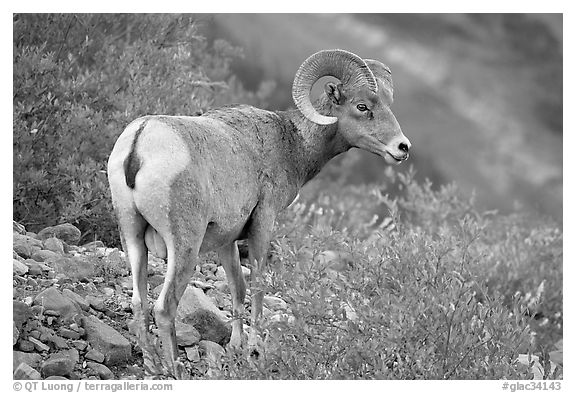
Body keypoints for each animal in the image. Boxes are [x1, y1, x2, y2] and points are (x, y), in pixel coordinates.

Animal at [107, 48, 410, 374]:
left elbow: (237, 288)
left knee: (139, 302)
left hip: (132, 236)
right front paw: (254, 350)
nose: (402, 147)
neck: (291, 144)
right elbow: (258, 286)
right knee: (164, 308)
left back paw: (152, 365)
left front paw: (236, 348)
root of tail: (140, 142)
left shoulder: (226, 240)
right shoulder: (262, 224)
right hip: (184, 246)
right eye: (362, 106)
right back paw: (175, 370)